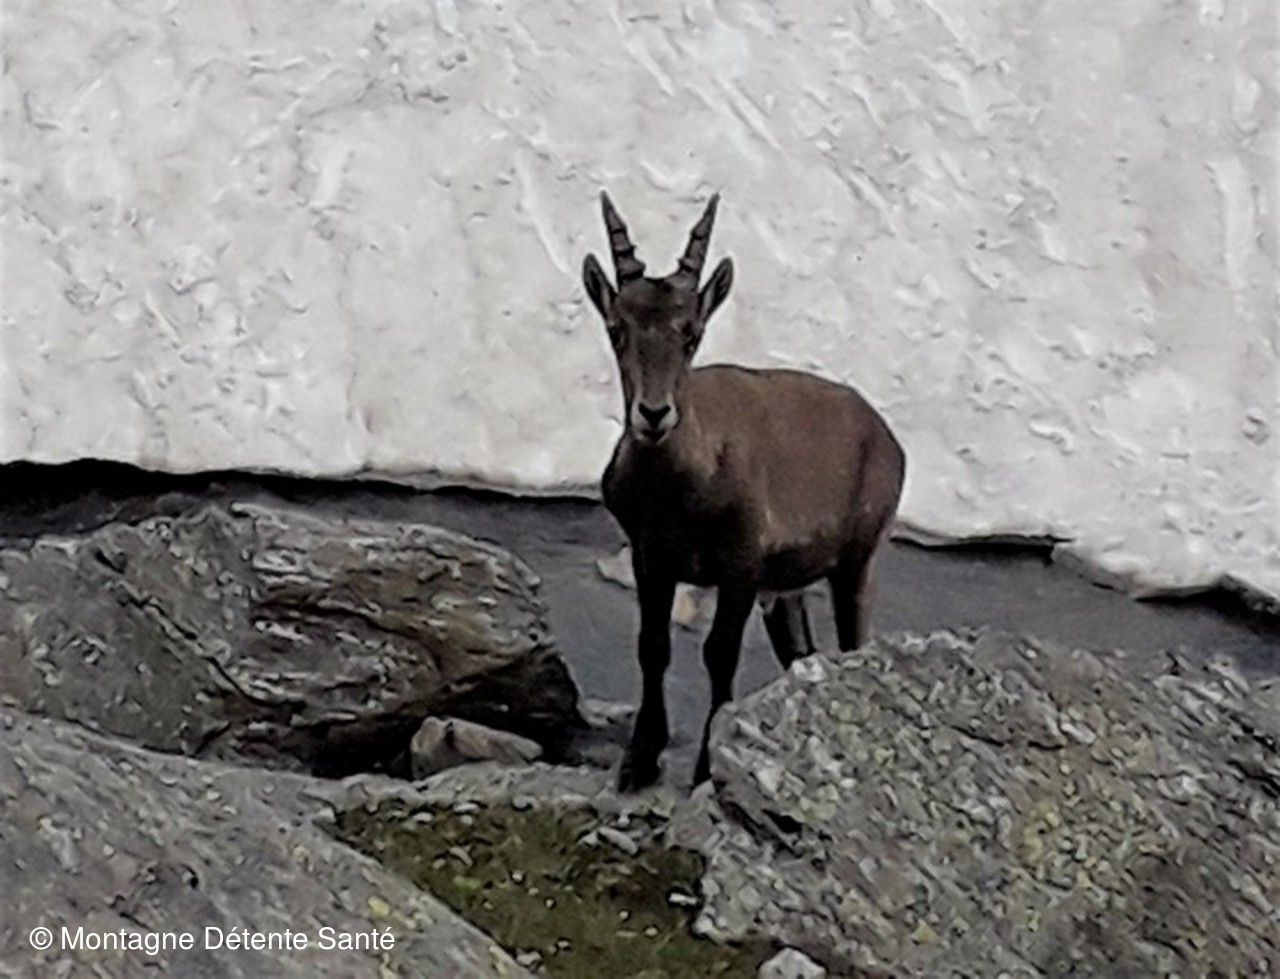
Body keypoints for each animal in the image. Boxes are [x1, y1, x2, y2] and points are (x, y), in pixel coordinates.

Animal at [581, 191, 907, 791]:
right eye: (618, 328)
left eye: (691, 333)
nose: (654, 415)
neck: (679, 487)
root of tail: (883, 433)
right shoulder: (651, 558)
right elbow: (652, 648)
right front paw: (639, 761)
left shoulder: (741, 563)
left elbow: (720, 654)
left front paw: (704, 770)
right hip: (786, 592)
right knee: (803, 657)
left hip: (858, 560)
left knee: (853, 645)